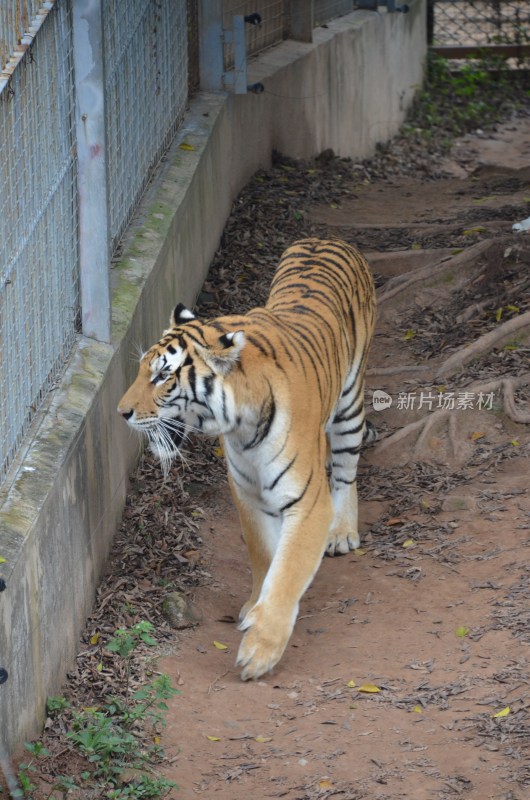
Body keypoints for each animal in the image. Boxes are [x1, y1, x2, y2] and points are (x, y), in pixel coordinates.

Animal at [118, 238, 376, 680]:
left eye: (163, 376)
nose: (121, 412)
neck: (241, 427)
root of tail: (327, 239)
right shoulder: (247, 492)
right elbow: (265, 556)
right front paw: (254, 607)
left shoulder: (308, 502)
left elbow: (288, 572)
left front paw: (259, 651)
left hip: (349, 405)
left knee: (345, 471)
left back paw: (342, 531)